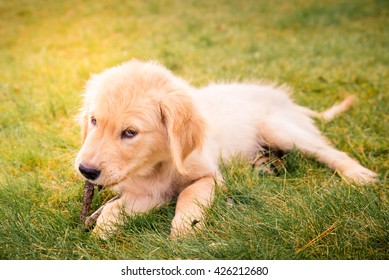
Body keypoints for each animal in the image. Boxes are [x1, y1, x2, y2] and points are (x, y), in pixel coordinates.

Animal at [75, 60, 376, 237]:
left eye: (130, 132)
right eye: (94, 121)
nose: (86, 170)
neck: (159, 163)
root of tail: (286, 101)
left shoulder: (210, 176)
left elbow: (189, 196)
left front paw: (185, 233)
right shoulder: (147, 192)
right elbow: (113, 211)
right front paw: (101, 232)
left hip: (279, 129)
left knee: (327, 151)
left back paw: (359, 175)